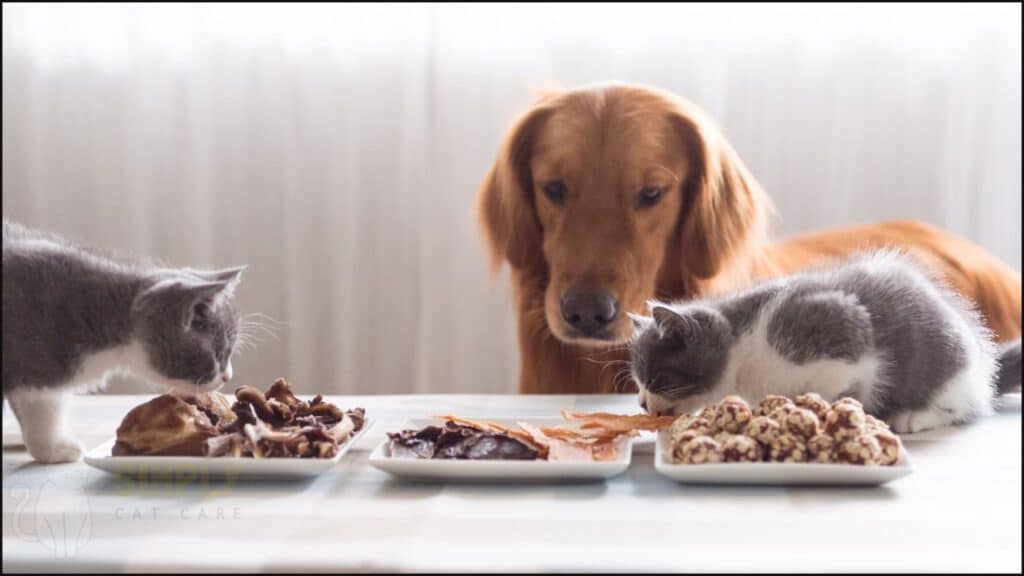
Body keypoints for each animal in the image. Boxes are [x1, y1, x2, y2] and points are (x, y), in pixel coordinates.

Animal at [626, 249, 1019, 432]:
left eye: (656, 378)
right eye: (638, 384)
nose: (642, 404)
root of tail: (984, 365)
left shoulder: (841, 326)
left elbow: (836, 383)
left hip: (945, 365)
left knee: (964, 407)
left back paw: (913, 416)